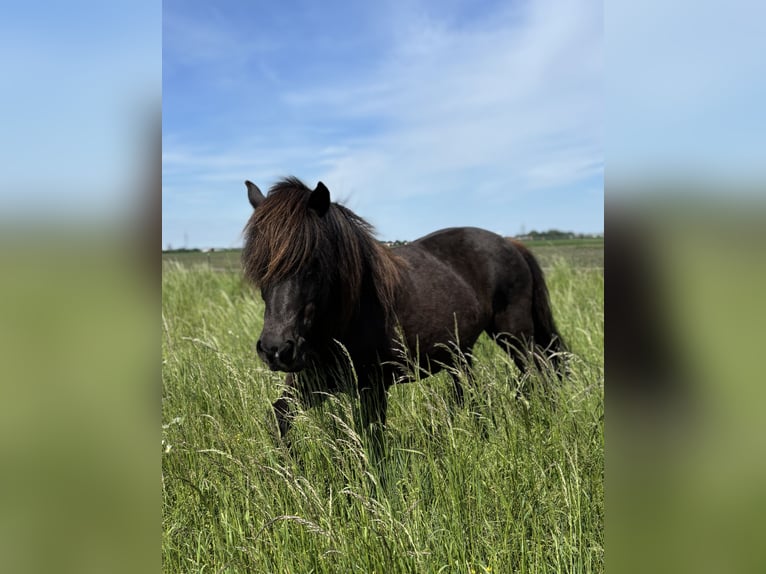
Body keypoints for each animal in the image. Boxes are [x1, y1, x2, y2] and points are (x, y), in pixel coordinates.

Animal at [242, 177, 565, 449]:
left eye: (312, 264)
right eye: (258, 265)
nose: (276, 350)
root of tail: (509, 242)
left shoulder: (373, 386)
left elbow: (372, 440)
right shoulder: (311, 380)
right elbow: (279, 417)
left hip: (514, 333)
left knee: (538, 370)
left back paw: (545, 417)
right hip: (461, 352)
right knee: (473, 390)